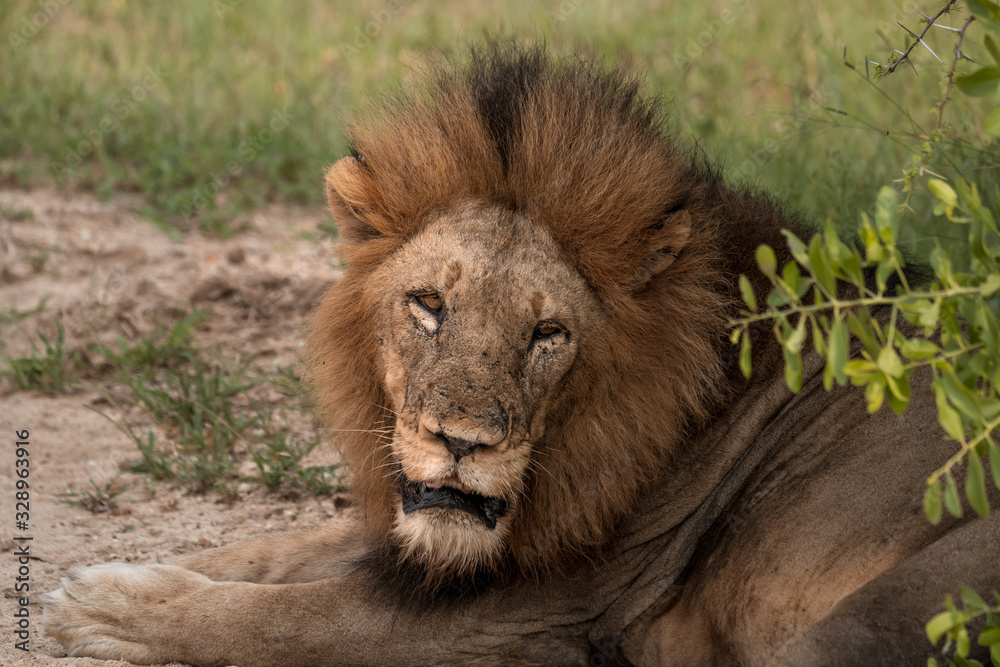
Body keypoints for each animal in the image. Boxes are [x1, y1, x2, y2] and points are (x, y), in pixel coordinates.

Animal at [42, 44, 1000, 666]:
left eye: (549, 334)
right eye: (429, 304)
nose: (463, 443)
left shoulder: (531, 616)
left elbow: (292, 618)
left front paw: (110, 607)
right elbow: (273, 548)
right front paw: (90, 574)